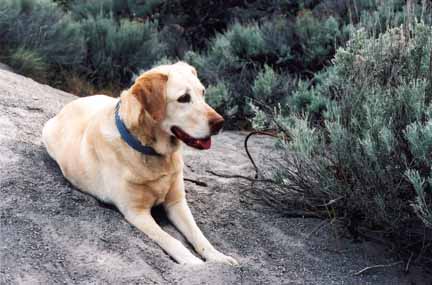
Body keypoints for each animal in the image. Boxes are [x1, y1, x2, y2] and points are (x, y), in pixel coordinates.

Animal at [42, 61, 238, 264]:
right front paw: (192, 262)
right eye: (183, 98)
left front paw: (218, 257)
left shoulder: (177, 202)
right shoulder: (137, 212)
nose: (220, 122)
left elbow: (198, 234)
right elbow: (170, 240)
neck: (153, 152)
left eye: (203, 92)